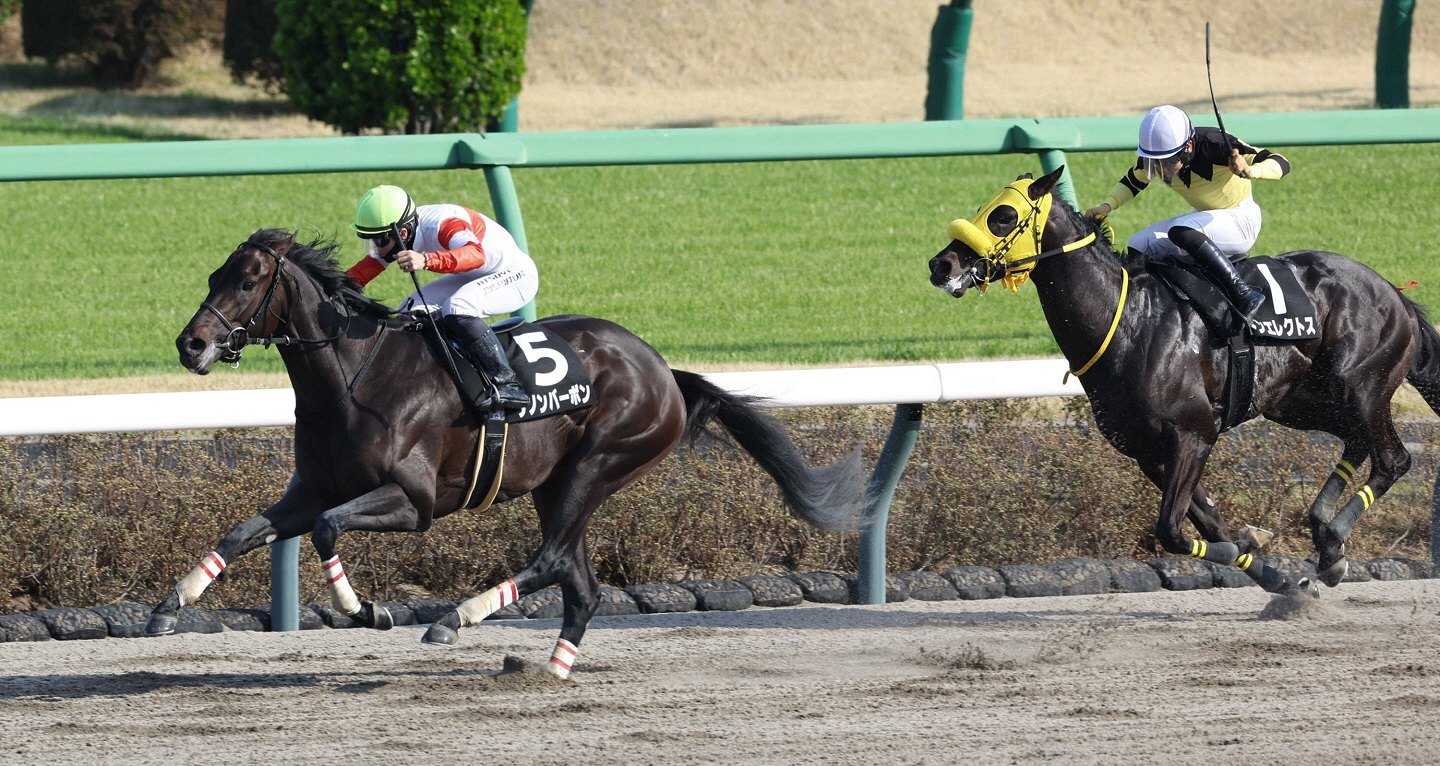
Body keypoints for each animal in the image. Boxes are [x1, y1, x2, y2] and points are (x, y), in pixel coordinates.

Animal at [150, 229, 868, 678]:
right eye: (214, 275)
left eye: (248, 282)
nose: (191, 344)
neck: (357, 377)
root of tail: (665, 371)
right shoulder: (315, 487)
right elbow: (245, 531)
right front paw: (167, 607)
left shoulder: (413, 503)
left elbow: (328, 529)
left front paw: (369, 611)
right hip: (557, 484)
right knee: (580, 584)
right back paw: (551, 670)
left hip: (599, 463)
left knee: (552, 560)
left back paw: (454, 620)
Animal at [927, 167, 1440, 593]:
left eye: (1003, 216)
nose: (941, 265)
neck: (1128, 321)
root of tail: (1394, 293)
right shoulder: (1147, 451)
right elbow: (1210, 523)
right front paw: (1275, 575)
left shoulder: (1194, 433)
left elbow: (1173, 532)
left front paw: (1252, 551)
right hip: (1298, 401)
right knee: (1357, 441)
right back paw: (1326, 543)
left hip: (1360, 385)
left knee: (1392, 459)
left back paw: (1332, 537)